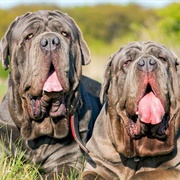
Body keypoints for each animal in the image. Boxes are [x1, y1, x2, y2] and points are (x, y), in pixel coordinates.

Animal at [82, 41, 180, 179]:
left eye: (162, 58)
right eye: (127, 62)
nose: (147, 62)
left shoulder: (174, 170)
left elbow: (142, 175)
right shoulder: (98, 164)